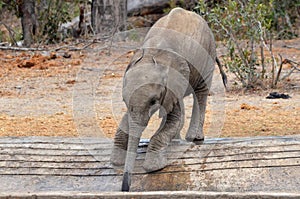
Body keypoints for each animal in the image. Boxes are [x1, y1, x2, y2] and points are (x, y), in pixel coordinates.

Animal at [110, 7, 225, 191]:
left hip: (208, 53)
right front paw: (116, 161)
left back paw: (194, 139)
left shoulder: (173, 82)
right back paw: (177, 140)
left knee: (201, 92)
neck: (153, 54)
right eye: (124, 101)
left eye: (153, 101)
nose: (125, 188)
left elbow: (174, 118)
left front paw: (153, 167)